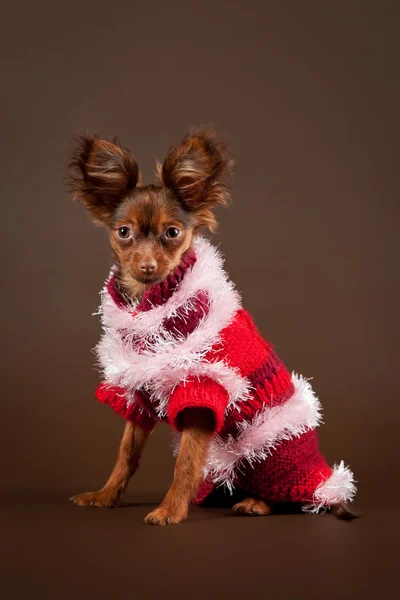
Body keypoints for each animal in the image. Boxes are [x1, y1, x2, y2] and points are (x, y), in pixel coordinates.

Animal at [67, 127, 358, 524]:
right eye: (123, 232)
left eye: (173, 233)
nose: (146, 265)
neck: (150, 307)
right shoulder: (139, 392)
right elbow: (126, 452)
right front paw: (107, 495)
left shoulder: (202, 396)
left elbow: (186, 462)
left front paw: (170, 510)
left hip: (272, 450)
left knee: (294, 496)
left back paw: (259, 502)